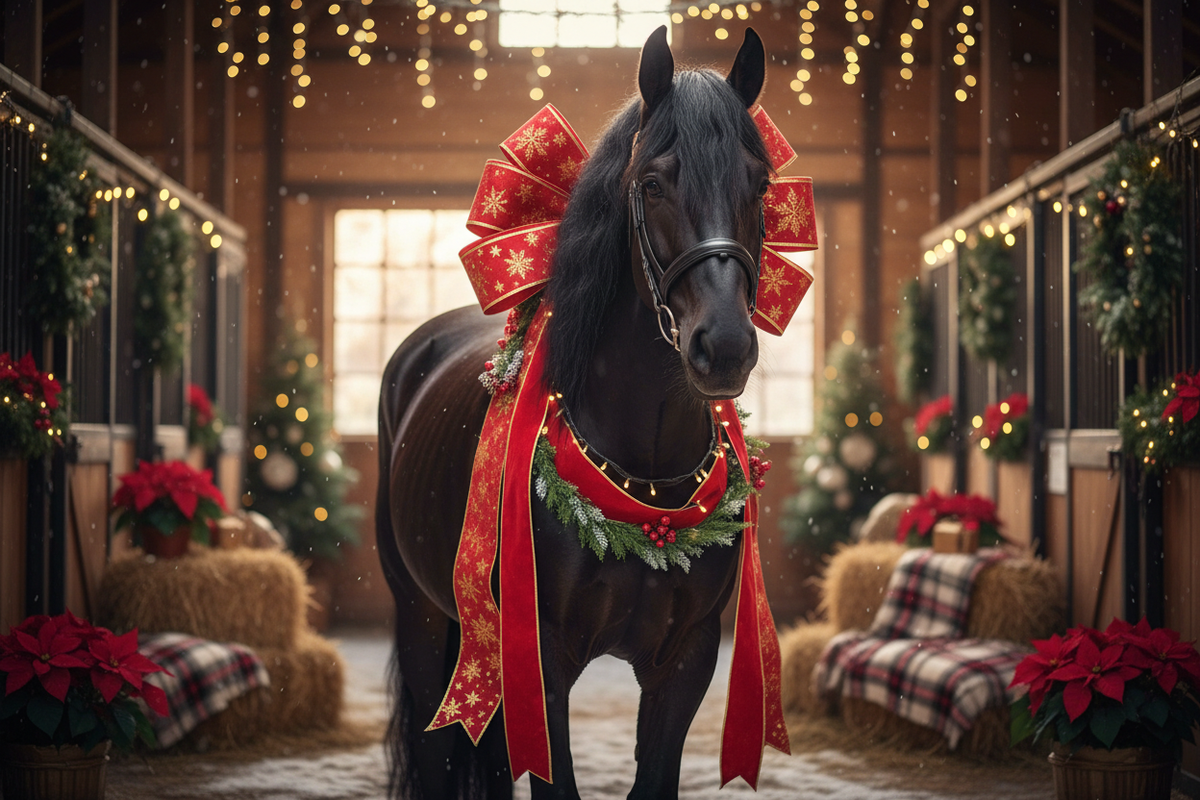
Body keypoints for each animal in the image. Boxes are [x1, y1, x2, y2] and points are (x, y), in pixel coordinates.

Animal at [377, 26, 774, 800]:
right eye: (652, 183)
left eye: (761, 183)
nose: (724, 346)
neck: (646, 484)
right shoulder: (543, 663)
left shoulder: (686, 662)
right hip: (421, 617)